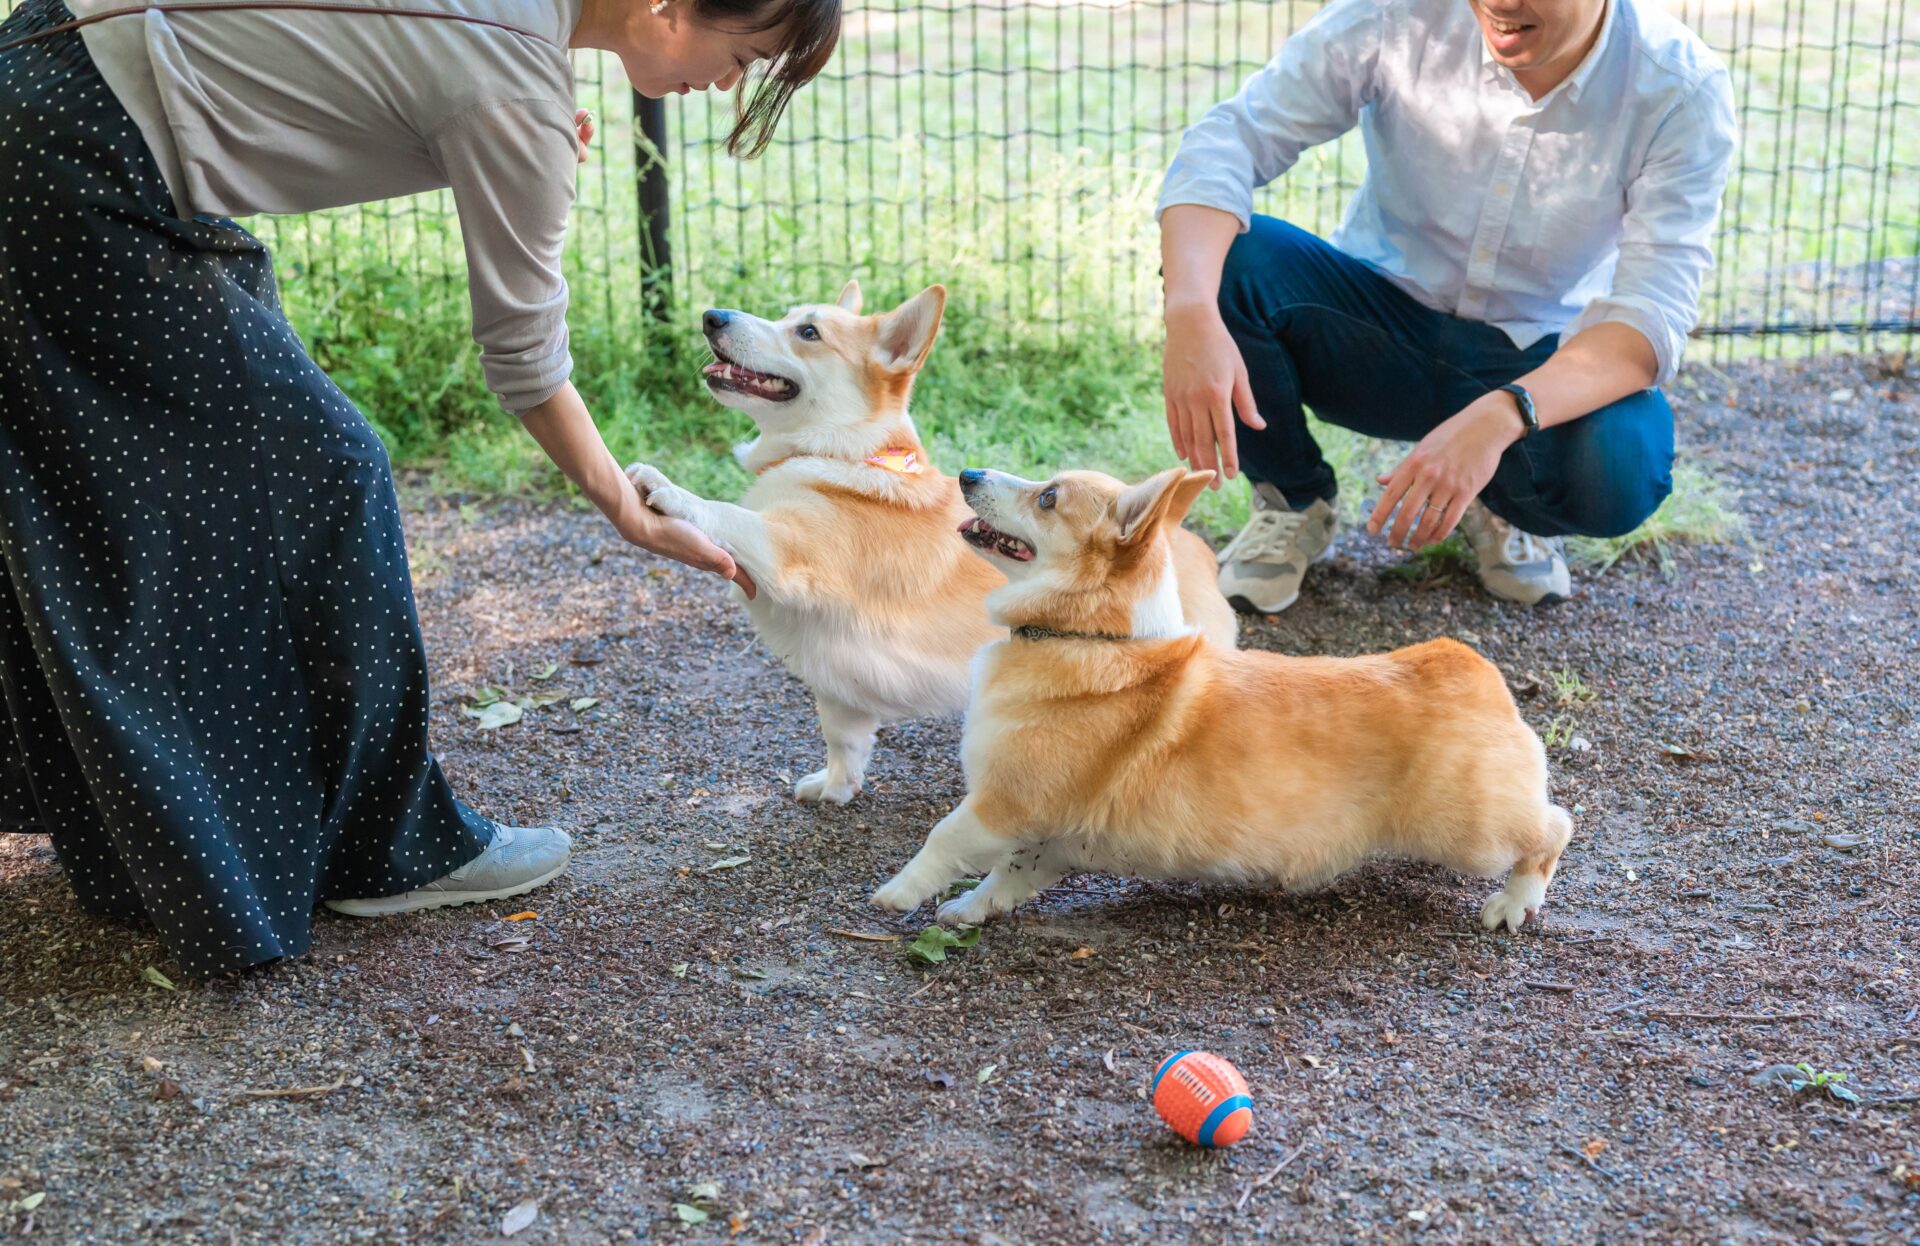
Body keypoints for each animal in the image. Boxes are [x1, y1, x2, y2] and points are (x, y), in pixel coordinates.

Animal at [622, 282, 1236, 802]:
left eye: (809, 332)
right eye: (786, 315)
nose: (711, 316)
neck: (839, 454)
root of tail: (1173, 534)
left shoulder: (788, 551)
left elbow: (726, 513)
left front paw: (665, 487)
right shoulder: (838, 686)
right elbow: (842, 741)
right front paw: (835, 789)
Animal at [871, 460, 1574, 929]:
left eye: (1047, 497)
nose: (965, 471)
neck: (1090, 636)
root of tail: (1470, 669)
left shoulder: (1003, 804)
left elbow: (944, 839)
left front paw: (896, 894)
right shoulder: (1050, 835)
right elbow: (1007, 874)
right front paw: (968, 910)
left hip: (1468, 834)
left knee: (1553, 828)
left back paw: (1513, 904)